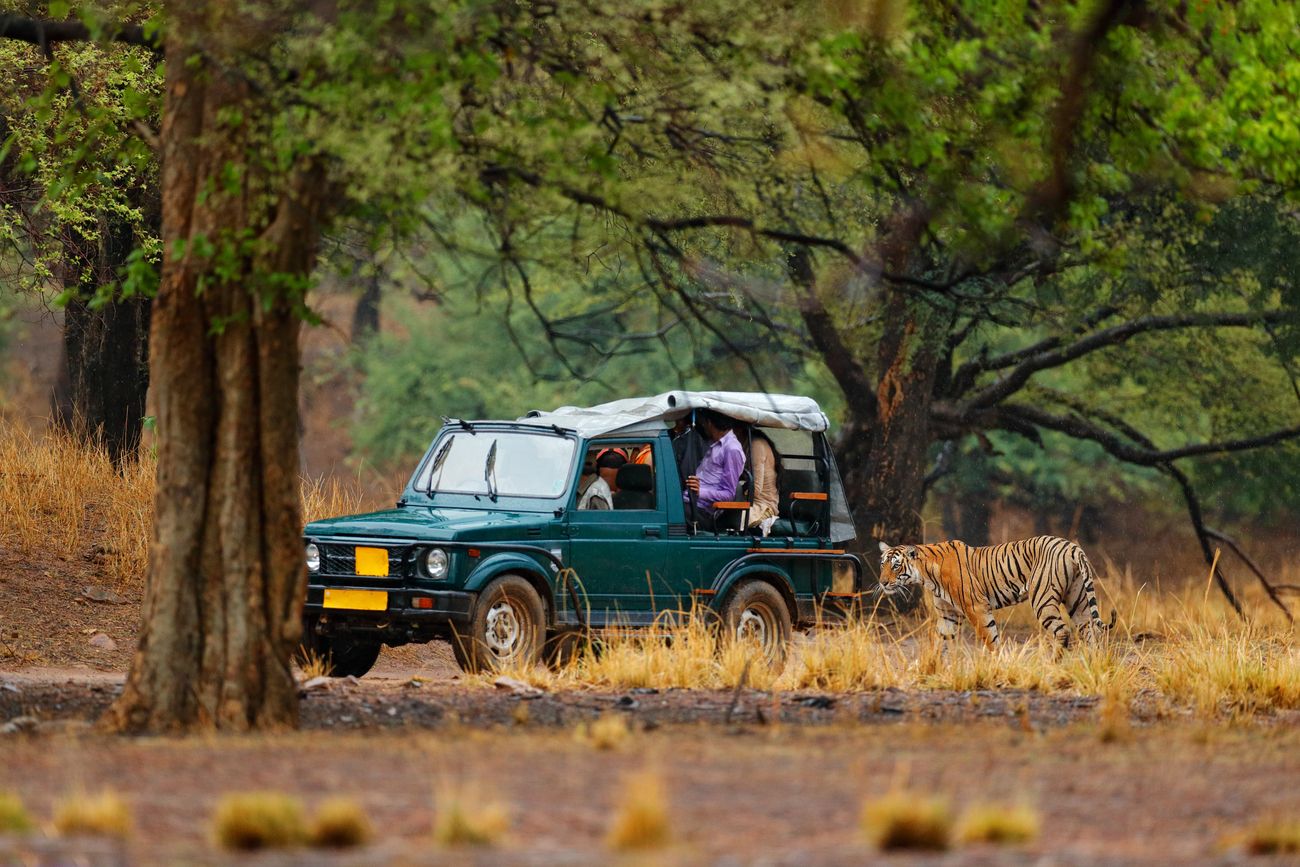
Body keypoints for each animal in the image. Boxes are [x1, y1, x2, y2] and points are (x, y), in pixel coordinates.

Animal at [878, 535, 1112, 649]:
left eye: (896, 566)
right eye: (882, 564)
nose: (882, 582)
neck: (926, 575)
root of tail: (1073, 547)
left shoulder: (976, 607)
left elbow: (991, 640)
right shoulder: (948, 615)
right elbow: (940, 642)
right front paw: (931, 670)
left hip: (1043, 598)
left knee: (1062, 631)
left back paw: (1055, 665)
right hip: (1077, 599)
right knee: (1091, 632)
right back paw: (1092, 666)